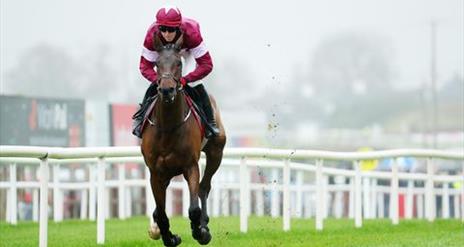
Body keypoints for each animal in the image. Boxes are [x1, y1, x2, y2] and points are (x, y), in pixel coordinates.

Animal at [142, 35, 227, 246]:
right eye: (157, 63)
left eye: (179, 63)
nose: (167, 90)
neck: (168, 128)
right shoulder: (155, 172)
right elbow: (162, 213)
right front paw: (170, 237)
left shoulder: (190, 165)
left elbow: (193, 208)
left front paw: (201, 233)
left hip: (216, 152)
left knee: (204, 187)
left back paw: (203, 224)